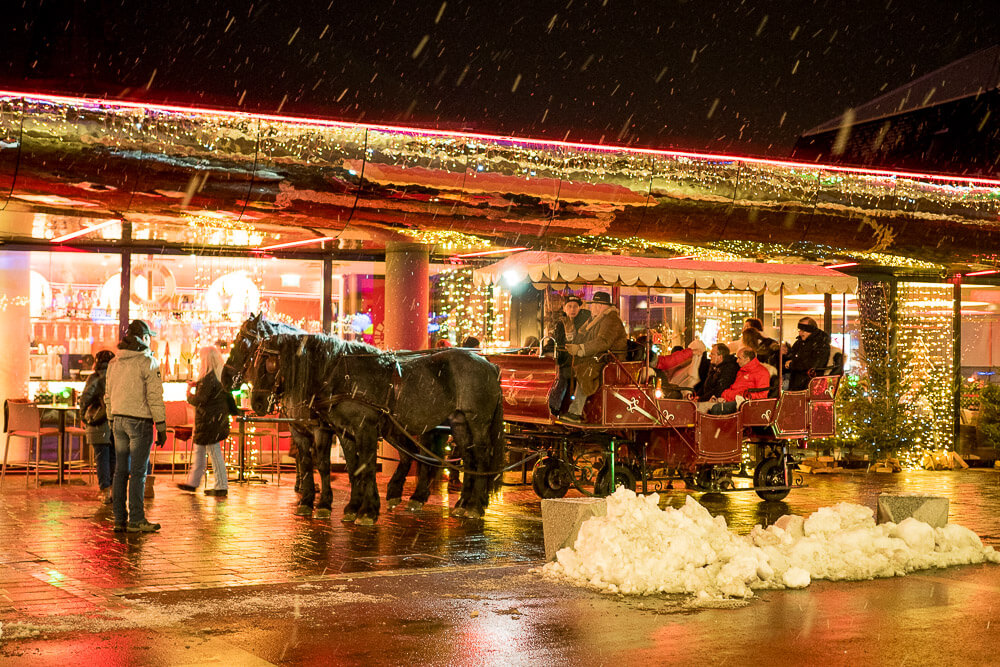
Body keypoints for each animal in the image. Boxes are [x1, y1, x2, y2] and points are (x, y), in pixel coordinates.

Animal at [229, 316, 448, 520]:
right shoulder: (302, 429)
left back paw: (417, 496)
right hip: (397, 429)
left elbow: (325, 465)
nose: (257, 402)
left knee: (424, 456)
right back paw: (401, 493)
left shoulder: (323, 429)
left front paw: (326, 504)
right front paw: (310, 501)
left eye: (245, 343)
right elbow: (319, 463)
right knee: (411, 454)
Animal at [246, 332, 504, 524]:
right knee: (466, 459)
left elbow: (364, 466)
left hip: (477, 422)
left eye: (269, 363)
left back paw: (474, 506)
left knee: (479, 458)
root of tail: (490, 366)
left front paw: (366, 511)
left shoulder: (361, 428)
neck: (340, 376)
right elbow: (353, 467)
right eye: (252, 362)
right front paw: (352, 507)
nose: (256, 403)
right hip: (457, 422)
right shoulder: (342, 431)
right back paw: (461, 503)